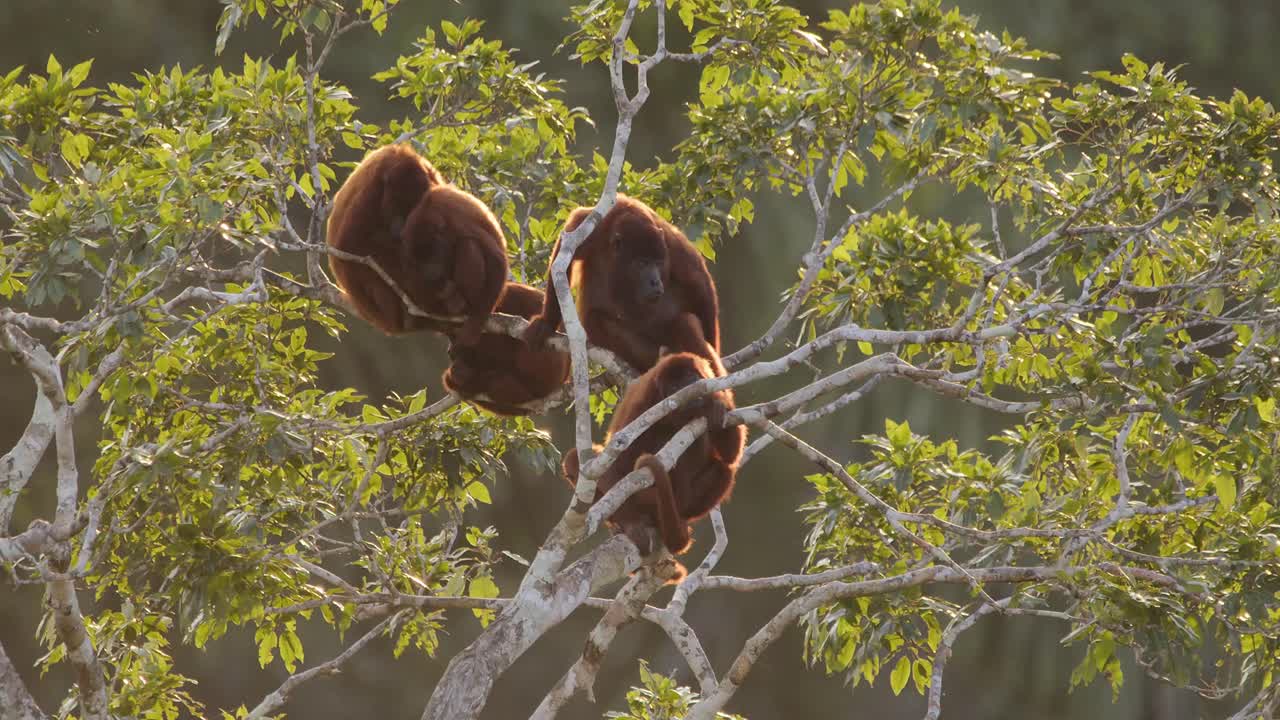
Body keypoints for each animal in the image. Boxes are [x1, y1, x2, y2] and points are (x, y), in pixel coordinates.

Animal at [523, 195, 721, 372]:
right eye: (642, 263)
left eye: (658, 263)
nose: (655, 282)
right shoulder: (588, 228)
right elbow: (561, 264)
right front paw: (547, 323)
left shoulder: (671, 244)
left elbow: (699, 282)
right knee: (595, 319)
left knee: (685, 322)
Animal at [560, 352, 745, 582]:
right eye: (675, 386)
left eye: (691, 377)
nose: (688, 386)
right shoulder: (643, 406)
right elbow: (619, 466)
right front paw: (632, 525)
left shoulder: (714, 388)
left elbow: (731, 455)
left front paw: (715, 407)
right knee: (575, 460)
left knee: (723, 470)